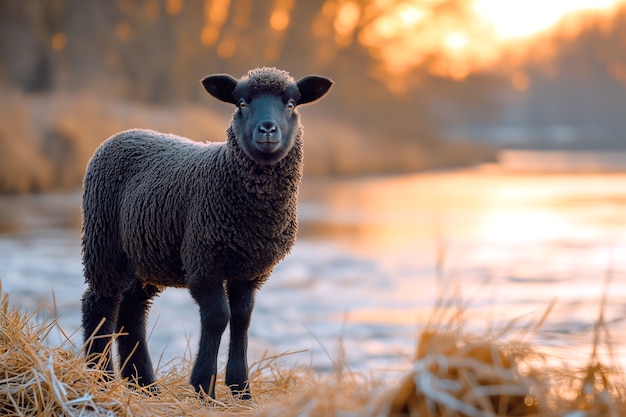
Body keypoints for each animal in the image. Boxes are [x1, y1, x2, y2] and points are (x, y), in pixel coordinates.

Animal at [81, 66, 334, 398]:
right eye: (242, 103)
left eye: (291, 104)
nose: (267, 130)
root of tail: (123, 133)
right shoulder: (203, 259)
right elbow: (218, 316)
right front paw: (204, 387)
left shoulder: (250, 269)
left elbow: (242, 317)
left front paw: (241, 389)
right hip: (104, 242)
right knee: (100, 304)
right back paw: (101, 379)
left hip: (146, 257)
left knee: (132, 309)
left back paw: (144, 385)